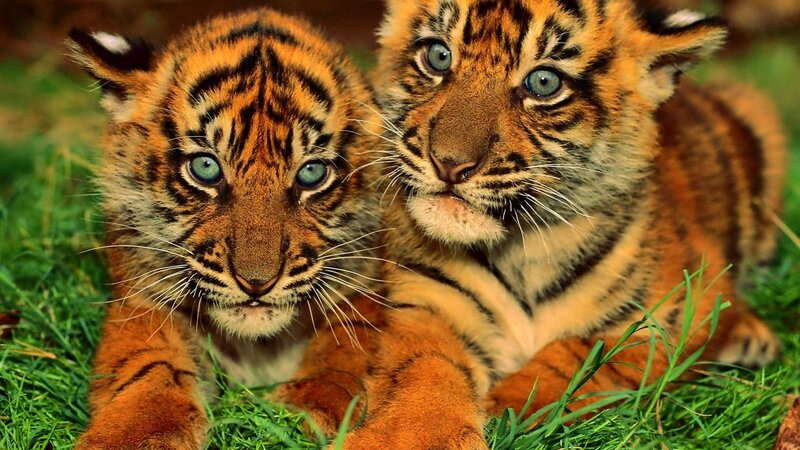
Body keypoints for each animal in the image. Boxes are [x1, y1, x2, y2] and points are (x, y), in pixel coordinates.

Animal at [67, 8, 385, 449]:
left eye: (311, 173)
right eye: (206, 167)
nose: (257, 283)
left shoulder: (365, 292)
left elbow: (341, 353)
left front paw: (304, 414)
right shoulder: (142, 299)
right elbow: (150, 368)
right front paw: (135, 435)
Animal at [282, 0, 788, 448]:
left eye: (543, 82)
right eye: (438, 56)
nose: (448, 163)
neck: (522, 249)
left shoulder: (677, 305)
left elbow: (582, 353)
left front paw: (505, 406)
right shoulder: (430, 303)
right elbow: (425, 372)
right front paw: (410, 437)